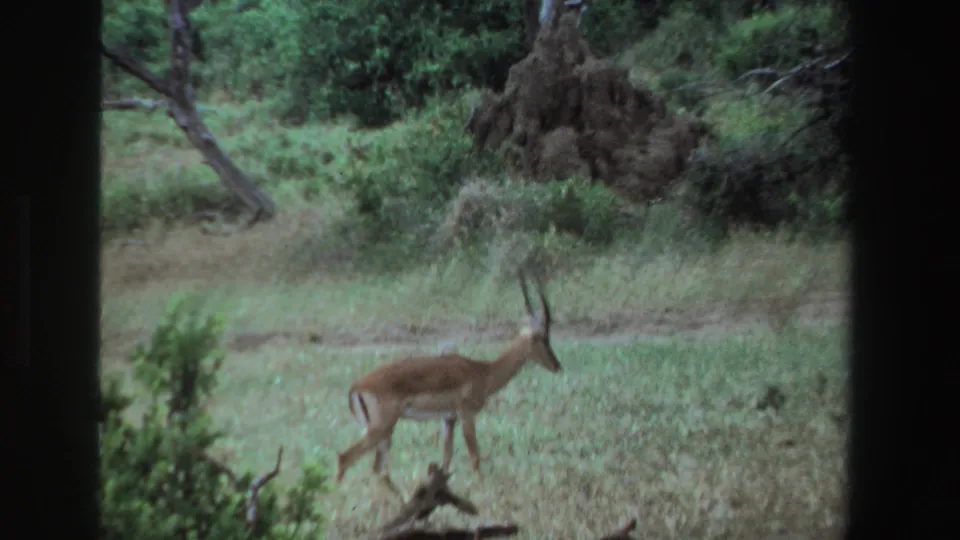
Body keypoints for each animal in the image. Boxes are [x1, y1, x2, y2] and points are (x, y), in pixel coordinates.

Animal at [335, 271, 562, 496]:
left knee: (378, 469)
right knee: (346, 458)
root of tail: (356, 388)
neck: (483, 372)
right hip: (381, 429)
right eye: (544, 339)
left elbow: (446, 460)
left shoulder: (448, 419)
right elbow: (475, 457)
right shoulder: (466, 415)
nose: (557, 365)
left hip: (384, 433)